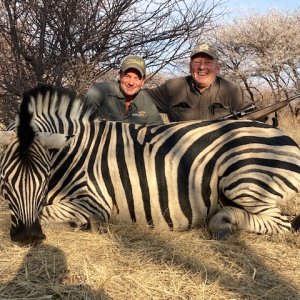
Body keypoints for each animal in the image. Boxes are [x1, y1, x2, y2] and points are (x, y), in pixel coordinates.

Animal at [0, 85, 298, 244]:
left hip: (243, 179)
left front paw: (83, 224)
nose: (27, 237)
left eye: (44, 176)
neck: (70, 156)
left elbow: (45, 212)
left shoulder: (94, 201)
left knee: (281, 223)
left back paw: (224, 222)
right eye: (4, 180)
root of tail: (287, 139)